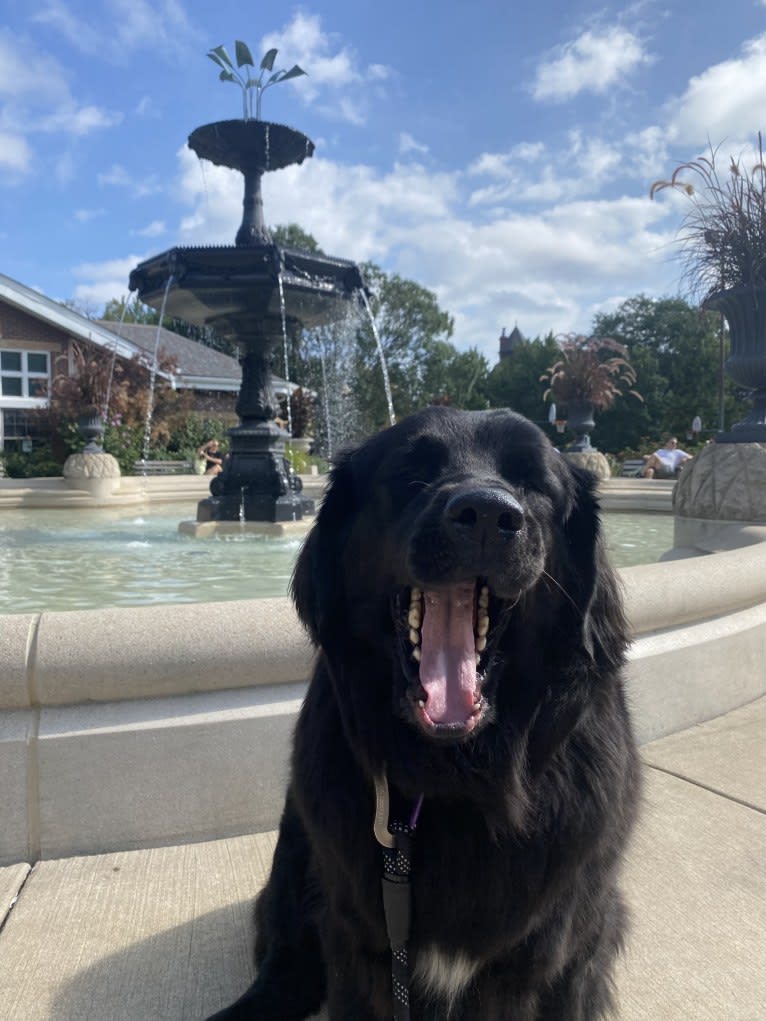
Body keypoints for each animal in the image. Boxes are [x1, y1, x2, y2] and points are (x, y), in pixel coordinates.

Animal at [210, 406, 641, 1021]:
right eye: (411, 474)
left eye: (532, 482)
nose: (485, 514)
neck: (457, 778)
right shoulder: (355, 936)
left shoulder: (557, 948)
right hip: (295, 853)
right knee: (284, 963)